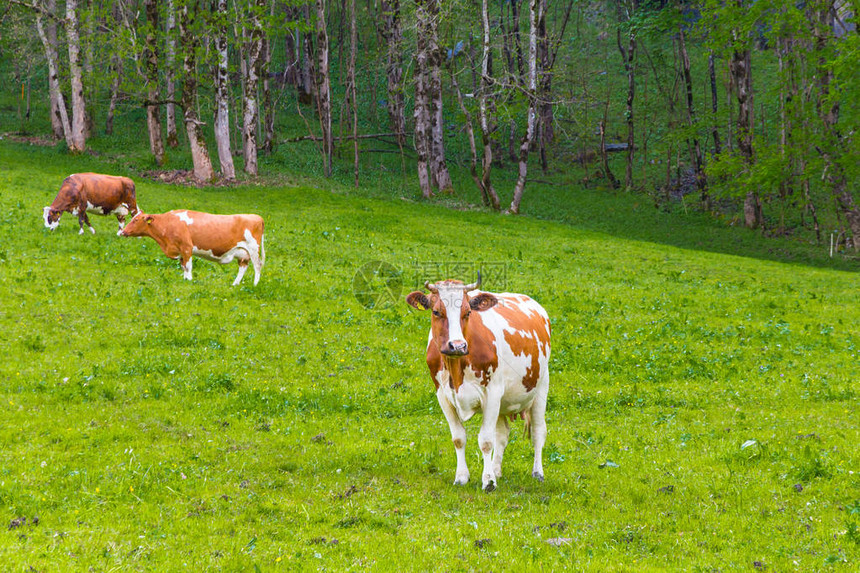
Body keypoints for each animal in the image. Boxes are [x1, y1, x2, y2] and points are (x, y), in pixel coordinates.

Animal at [118, 209, 266, 284]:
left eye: (136, 220)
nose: (123, 232)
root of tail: (256, 216)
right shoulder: (179, 251)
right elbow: (183, 265)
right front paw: (185, 279)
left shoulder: (186, 247)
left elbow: (188, 266)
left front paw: (189, 280)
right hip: (242, 253)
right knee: (243, 267)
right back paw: (235, 284)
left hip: (253, 249)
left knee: (257, 266)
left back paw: (255, 284)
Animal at [404, 274, 552, 490]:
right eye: (436, 311)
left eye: (468, 312)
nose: (457, 345)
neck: (456, 368)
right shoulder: (442, 395)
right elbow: (459, 438)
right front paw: (462, 476)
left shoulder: (492, 393)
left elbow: (486, 441)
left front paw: (488, 481)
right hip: (504, 401)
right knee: (502, 434)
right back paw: (497, 470)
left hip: (541, 387)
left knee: (539, 432)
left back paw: (538, 473)